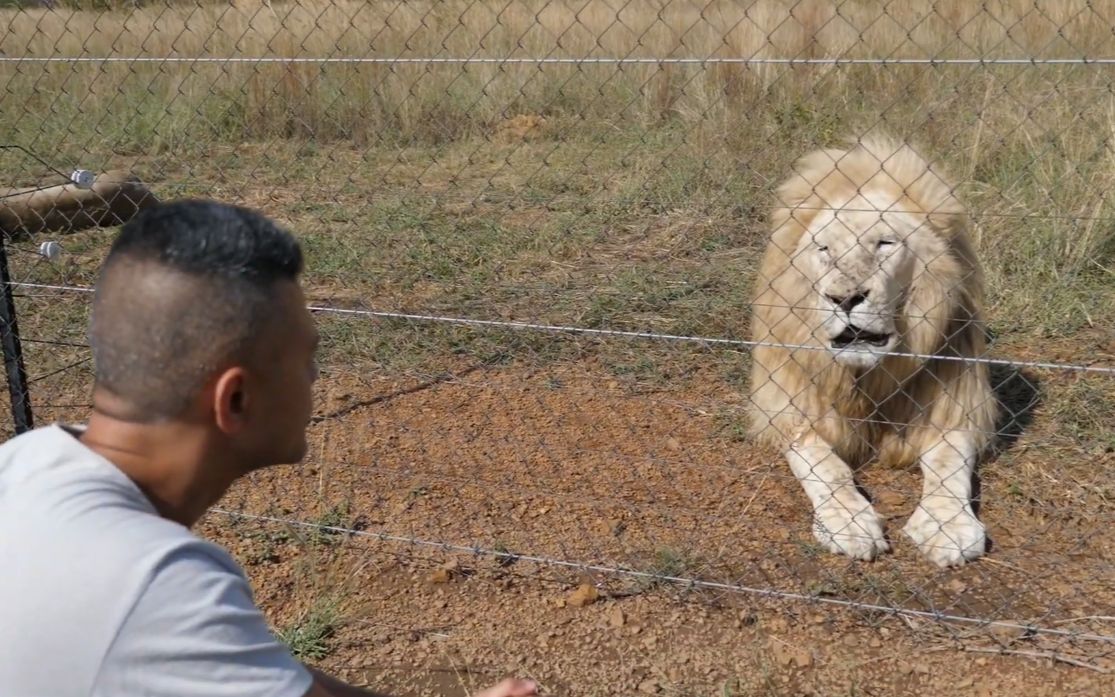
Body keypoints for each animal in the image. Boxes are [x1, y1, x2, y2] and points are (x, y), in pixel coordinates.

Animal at [749, 131, 994, 566]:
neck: (868, 376)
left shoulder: (957, 402)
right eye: (824, 249)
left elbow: (949, 461)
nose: (844, 298)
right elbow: (825, 466)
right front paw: (848, 522)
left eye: (884, 243)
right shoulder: (789, 408)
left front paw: (948, 526)